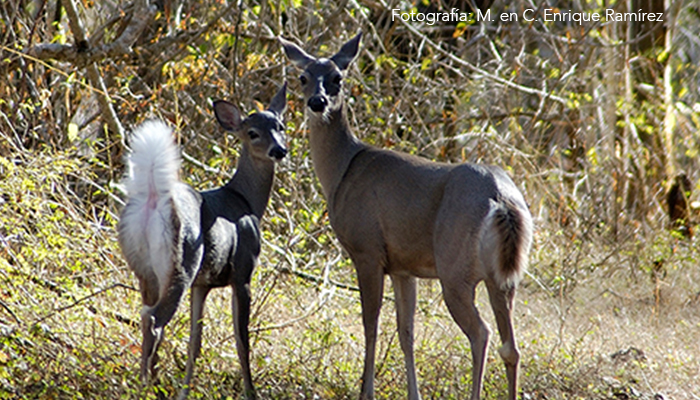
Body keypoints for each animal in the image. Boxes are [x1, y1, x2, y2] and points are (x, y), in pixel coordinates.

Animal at [117, 83, 288, 398]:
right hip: (182, 263)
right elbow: (242, 341)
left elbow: (194, 342)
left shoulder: (203, 284)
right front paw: (251, 392)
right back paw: (148, 384)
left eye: (280, 126)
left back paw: (146, 382)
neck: (247, 202)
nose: (279, 150)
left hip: (145, 269)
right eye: (252, 133)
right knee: (154, 320)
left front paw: (185, 391)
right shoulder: (243, 272)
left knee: (146, 316)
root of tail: (154, 200)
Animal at [282, 33, 532, 400]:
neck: (342, 170)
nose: (317, 101)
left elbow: (370, 324)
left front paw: (366, 392)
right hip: (504, 277)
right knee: (510, 345)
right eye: (303, 77)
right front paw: (413, 393)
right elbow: (406, 332)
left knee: (482, 333)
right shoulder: (403, 267)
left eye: (337, 78)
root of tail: (501, 199)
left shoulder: (367, 251)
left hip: (454, 269)